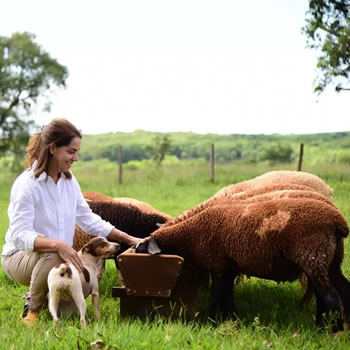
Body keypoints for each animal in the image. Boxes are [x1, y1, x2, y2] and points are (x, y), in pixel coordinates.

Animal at [137, 198, 350, 332]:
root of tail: (338, 222)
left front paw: (210, 322)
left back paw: (328, 330)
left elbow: (215, 295)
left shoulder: (217, 263)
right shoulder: (229, 266)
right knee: (342, 289)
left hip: (313, 254)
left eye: (141, 248)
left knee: (330, 296)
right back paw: (337, 325)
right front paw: (231, 319)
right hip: (331, 260)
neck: (191, 235)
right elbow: (227, 295)